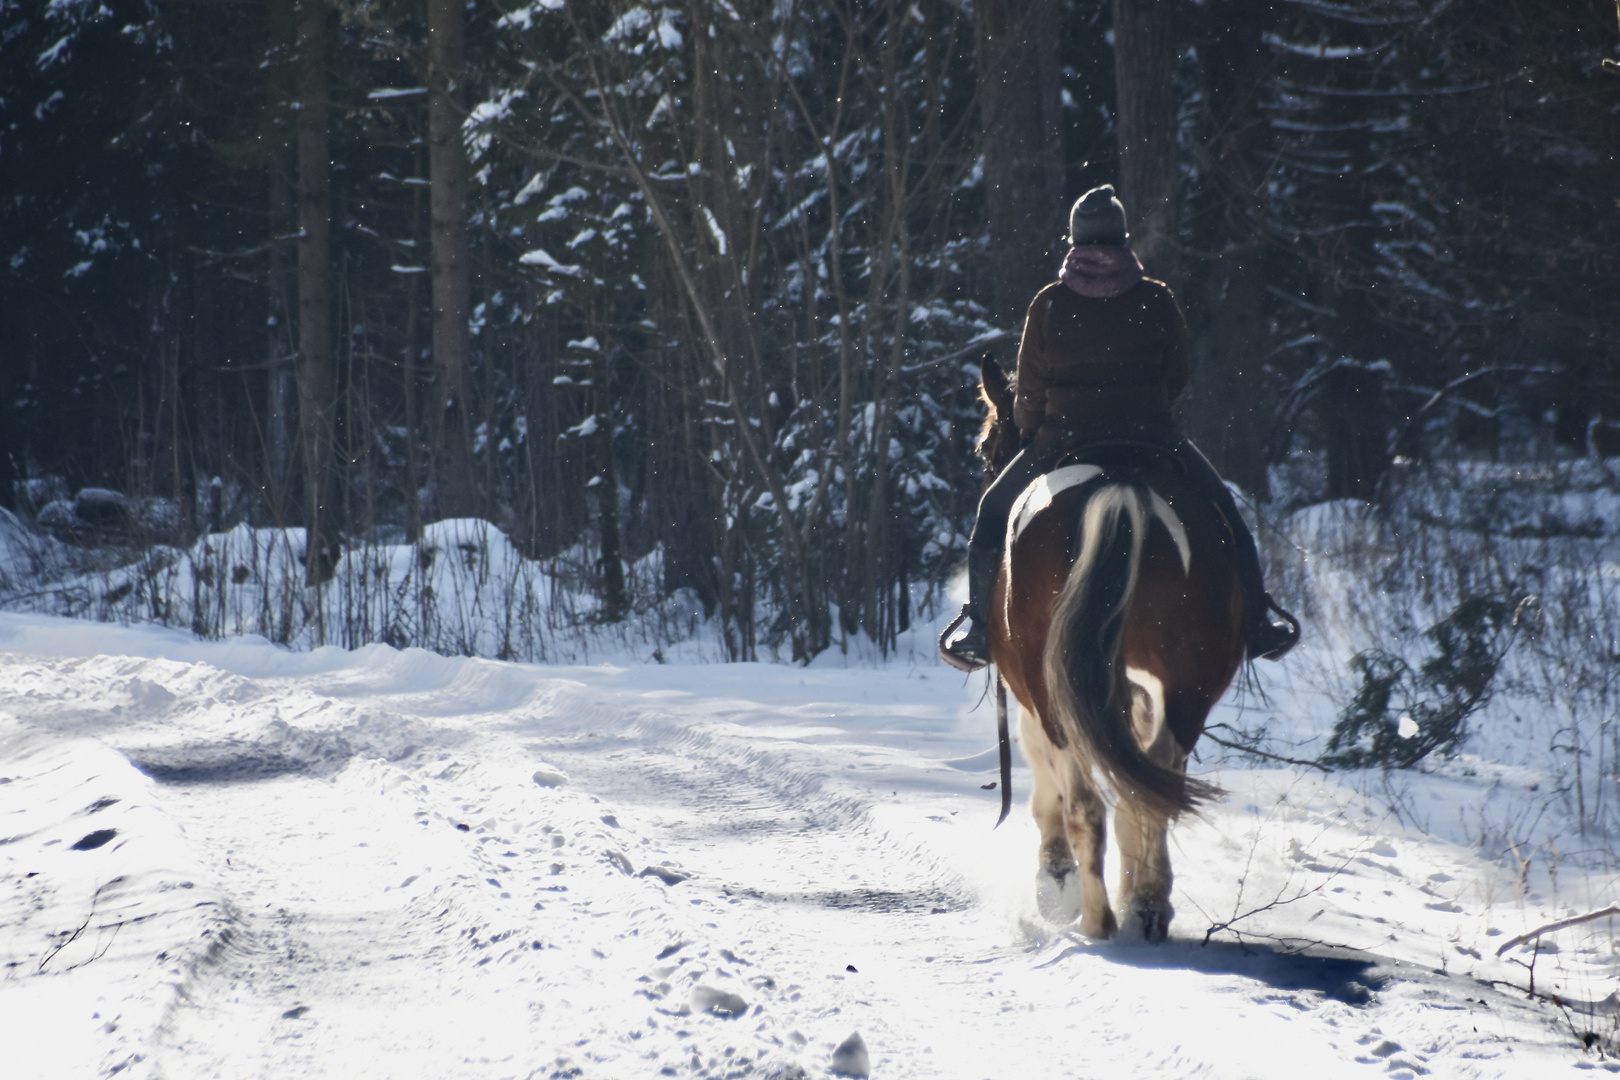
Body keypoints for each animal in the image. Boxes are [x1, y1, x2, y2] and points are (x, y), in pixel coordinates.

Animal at [972, 359, 1250, 939]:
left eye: (986, 449)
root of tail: (1121, 488)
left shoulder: (1033, 702)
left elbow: (1048, 790)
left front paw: (1055, 883)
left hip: (1053, 693)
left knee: (1085, 804)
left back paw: (1098, 921)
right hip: (1186, 689)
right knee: (1152, 786)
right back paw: (1145, 908)